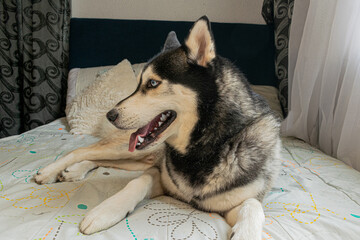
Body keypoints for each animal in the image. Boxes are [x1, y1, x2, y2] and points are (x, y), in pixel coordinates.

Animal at [34, 15, 282, 239]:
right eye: (137, 85)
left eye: (152, 83)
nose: (110, 115)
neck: (204, 148)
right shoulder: (159, 176)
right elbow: (137, 182)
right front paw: (105, 211)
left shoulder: (237, 202)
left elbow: (253, 206)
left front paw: (246, 233)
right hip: (135, 151)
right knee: (83, 151)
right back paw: (51, 171)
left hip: (141, 155)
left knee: (100, 159)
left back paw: (74, 170)